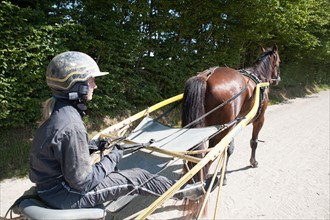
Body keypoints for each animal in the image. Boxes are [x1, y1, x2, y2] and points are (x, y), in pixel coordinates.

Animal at [182, 44, 280, 187]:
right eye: (278, 62)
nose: (277, 79)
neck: (259, 77)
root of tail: (206, 77)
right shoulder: (259, 119)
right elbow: (253, 142)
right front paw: (253, 162)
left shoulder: (235, 123)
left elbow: (229, 148)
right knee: (210, 154)